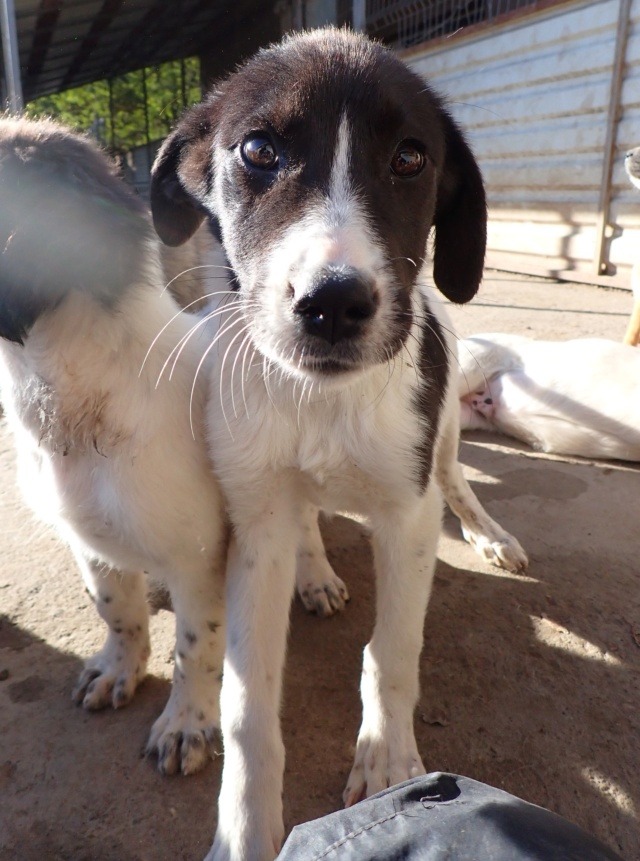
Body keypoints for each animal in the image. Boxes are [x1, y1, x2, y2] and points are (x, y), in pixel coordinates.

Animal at [0, 116, 228, 777]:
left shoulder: (198, 554)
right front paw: (119, 670)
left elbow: (197, 644)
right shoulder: (86, 535)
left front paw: (187, 724)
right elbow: (116, 609)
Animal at [150, 28, 527, 861]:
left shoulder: (407, 514)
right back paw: (317, 568)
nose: (332, 304)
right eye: (258, 150)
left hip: (443, 433)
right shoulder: (255, 522)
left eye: (411, 159)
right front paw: (243, 827)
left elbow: (392, 650)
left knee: (458, 479)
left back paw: (491, 534)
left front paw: (388, 761)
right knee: (308, 517)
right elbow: (246, 705)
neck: (319, 401)